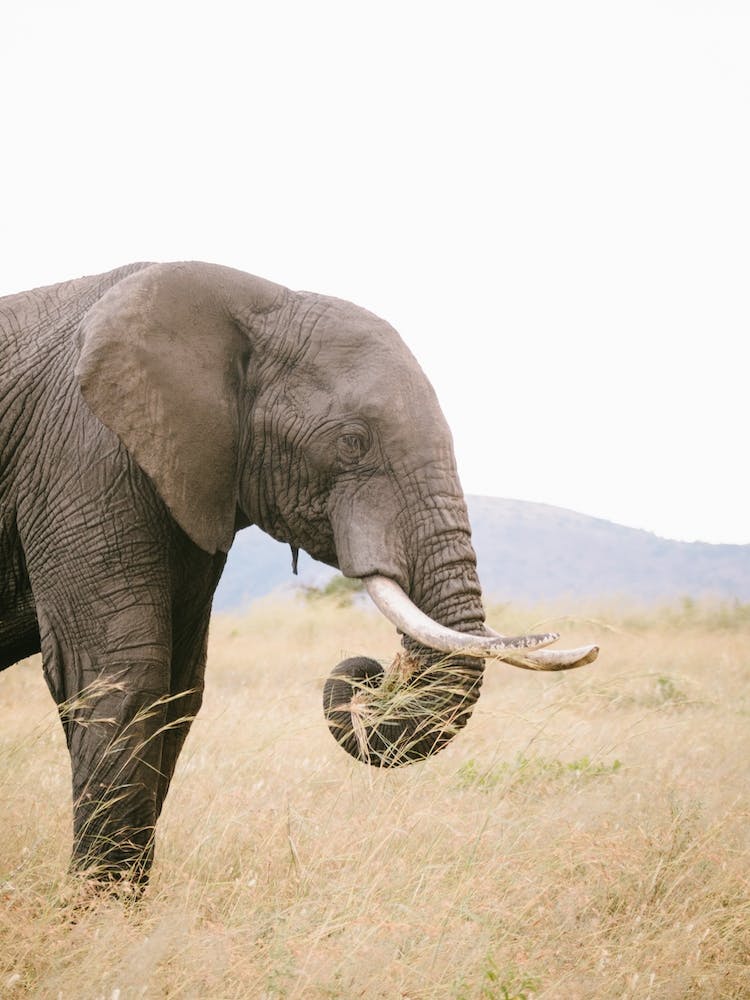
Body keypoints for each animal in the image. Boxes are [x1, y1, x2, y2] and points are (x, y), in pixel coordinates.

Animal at [0, 262, 598, 887]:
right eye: (353, 442)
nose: (375, 675)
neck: (255, 302)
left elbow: (180, 687)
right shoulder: (79, 457)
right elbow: (119, 675)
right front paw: (102, 907)